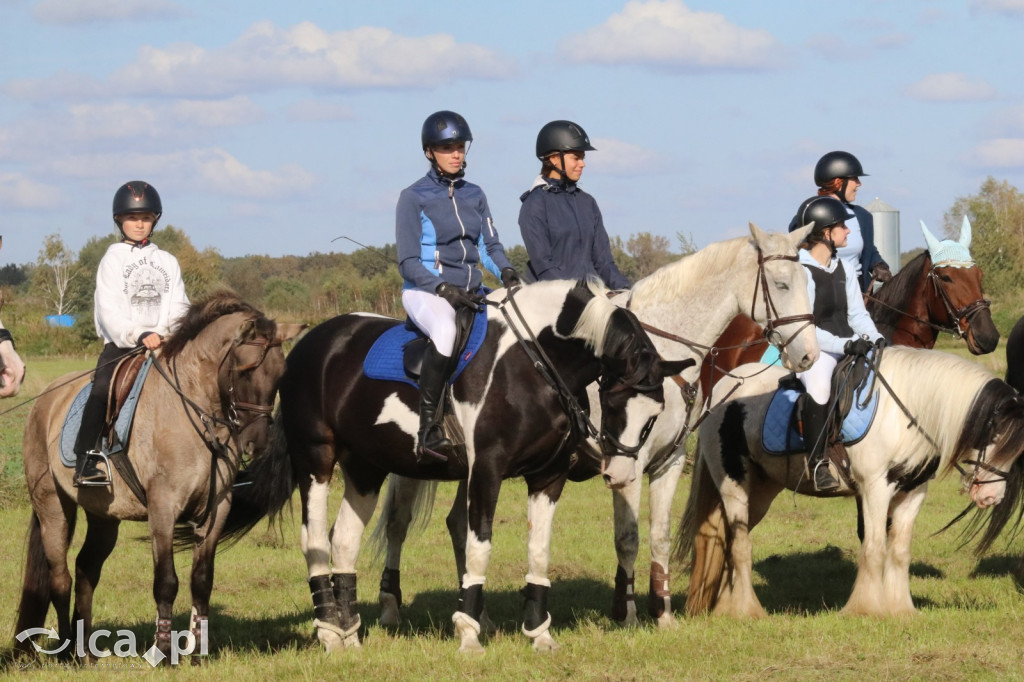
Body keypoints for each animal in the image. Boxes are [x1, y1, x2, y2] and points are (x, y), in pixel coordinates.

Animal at [14, 292, 299, 663]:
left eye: (280, 374)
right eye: (245, 370)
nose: (256, 443)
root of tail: (46, 400)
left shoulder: (217, 509)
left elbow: (201, 580)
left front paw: (198, 652)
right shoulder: (163, 508)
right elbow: (166, 580)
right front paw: (162, 651)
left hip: (104, 516)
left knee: (86, 569)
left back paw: (85, 649)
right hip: (53, 507)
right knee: (60, 578)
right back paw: (67, 654)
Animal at [220, 278, 692, 651]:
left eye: (654, 413)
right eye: (612, 400)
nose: (620, 475)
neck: (533, 362)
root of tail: (314, 341)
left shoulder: (548, 476)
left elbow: (539, 550)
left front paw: (539, 633)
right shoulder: (487, 470)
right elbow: (479, 545)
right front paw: (468, 633)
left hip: (365, 469)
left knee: (345, 542)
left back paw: (349, 634)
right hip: (316, 459)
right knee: (316, 539)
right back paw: (328, 633)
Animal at [372, 223, 819, 626]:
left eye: (806, 283)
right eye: (781, 284)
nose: (808, 356)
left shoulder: (668, 462)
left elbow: (658, 536)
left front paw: (663, 614)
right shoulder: (626, 462)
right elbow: (628, 538)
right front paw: (627, 613)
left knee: (457, 524)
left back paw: (474, 610)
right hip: (419, 463)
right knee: (398, 523)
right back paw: (392, 607)